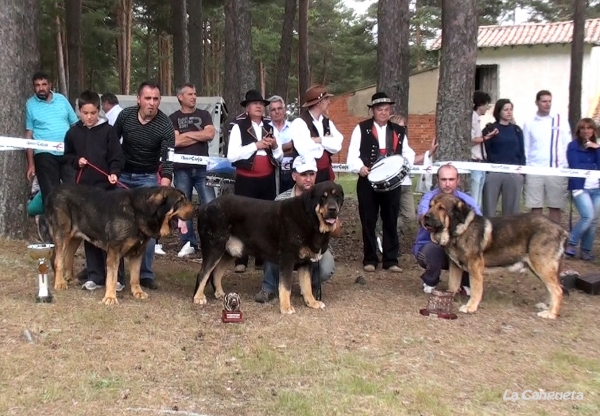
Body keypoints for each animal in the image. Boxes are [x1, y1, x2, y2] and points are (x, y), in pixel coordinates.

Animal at [45, 185, 195, 306]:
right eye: (180, 200)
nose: (196, 210)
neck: (138, 213)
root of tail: (53, 191)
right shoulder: (114, 251)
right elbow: (112, 277)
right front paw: (110, 297)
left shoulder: (138, 253)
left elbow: (135, 276)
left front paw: (137, 292)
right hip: (63, 234)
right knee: (58, 260)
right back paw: (60, 282)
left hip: (75, 237)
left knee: (68, 257)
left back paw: (70, 279)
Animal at [195, 180, 344, 314]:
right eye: (323, 197)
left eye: (337, 197)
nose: (333, 209)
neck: (309, 218)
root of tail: (205, 207)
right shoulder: (287, 258)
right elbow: (286, 286)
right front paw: (286, 307)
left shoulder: (305, 262)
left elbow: (307, 285)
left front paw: (312, 302)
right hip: (214, 248)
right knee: (203, 273)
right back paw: (198, 298)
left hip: (229, 251)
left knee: (216, 273)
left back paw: (220, 293)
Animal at [422, 193, 568, 320]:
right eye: (430, 205)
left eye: (441, 208)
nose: (425, 217)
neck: (459, 230)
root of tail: (561, 229)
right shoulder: (455, 265)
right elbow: (452, 285)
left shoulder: (475, 266)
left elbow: (476, 289)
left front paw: (471, 307)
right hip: (539, 268)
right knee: (551, 288)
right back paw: (547, 306)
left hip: (542, 266)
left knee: (557, 290)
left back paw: (551, 313)